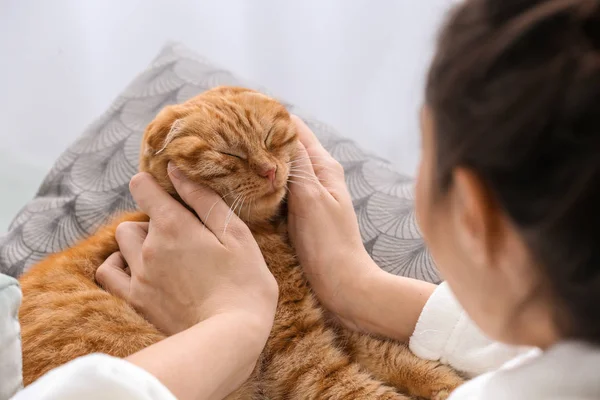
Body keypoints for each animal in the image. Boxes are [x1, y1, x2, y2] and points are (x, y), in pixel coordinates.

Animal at [16, 86, 462, 398]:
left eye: (269, 138)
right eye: (229, 154)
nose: (269, 170)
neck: (268, 234)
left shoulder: (332, 323)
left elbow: (397, 355)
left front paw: (449, 383)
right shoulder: (301, 360)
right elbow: (366, 388)